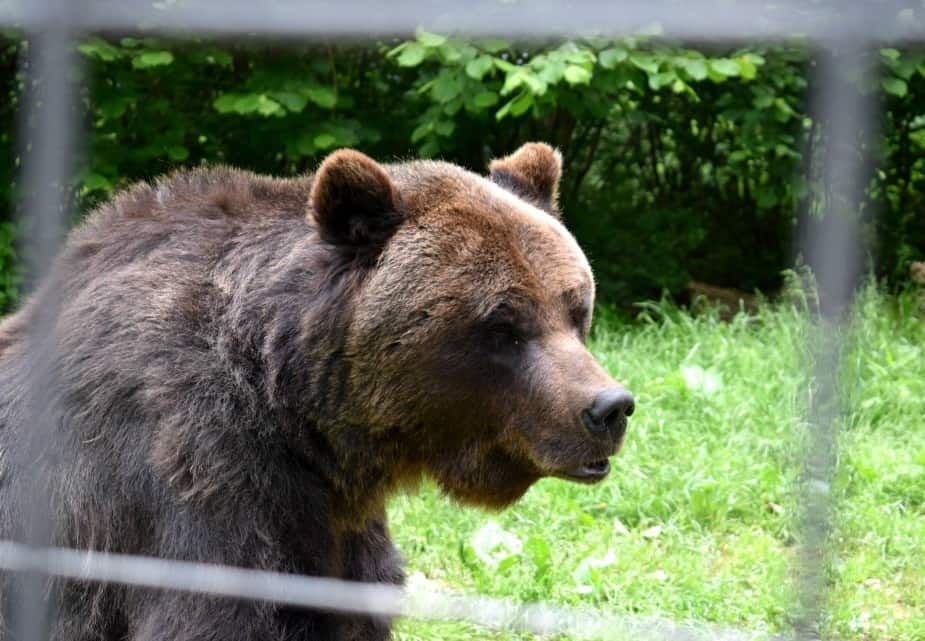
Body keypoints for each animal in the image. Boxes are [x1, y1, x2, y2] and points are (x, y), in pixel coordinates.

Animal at [0, 144, 632, 640]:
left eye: (575, 309)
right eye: (504, 327)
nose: (609, 408)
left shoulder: (331, 522)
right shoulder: (186, 472)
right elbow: (214, 613)